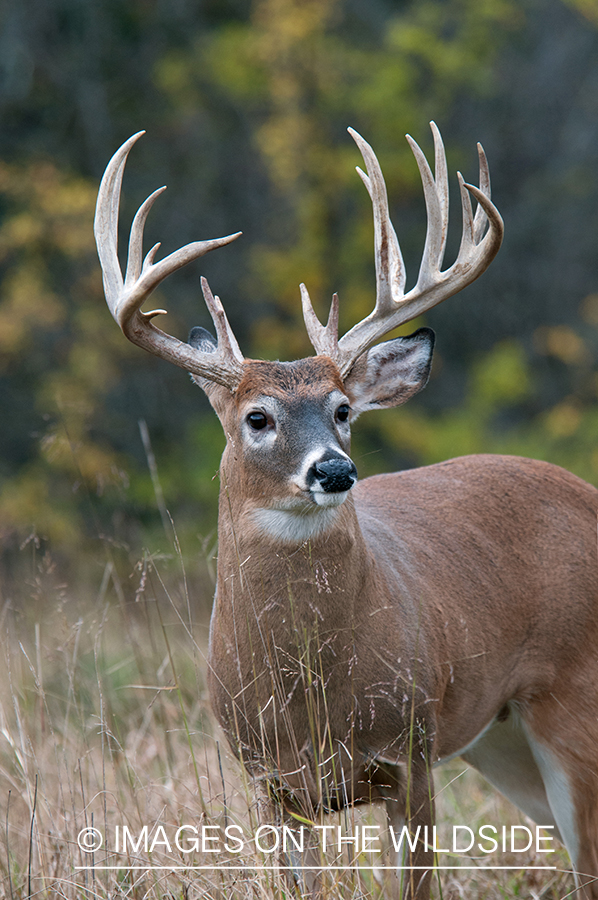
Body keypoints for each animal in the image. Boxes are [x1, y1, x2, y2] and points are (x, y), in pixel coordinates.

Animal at [94, 123, 598, 896]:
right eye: (258, 417)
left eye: (342, 410)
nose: (334, 469)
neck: (312, 701)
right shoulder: (270, 782)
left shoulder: (411, 751)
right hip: (504, 737)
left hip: (574, 700)